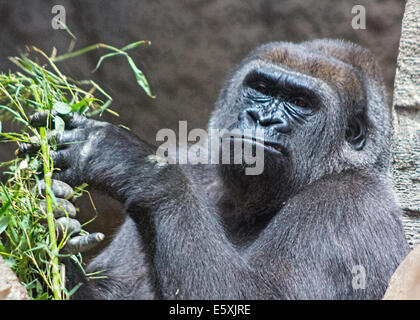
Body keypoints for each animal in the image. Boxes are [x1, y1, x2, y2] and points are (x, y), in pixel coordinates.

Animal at [24, 38, 408, 298]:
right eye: (261, 88)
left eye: (301, 102)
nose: (261, 118)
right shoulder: (195, 163)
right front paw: (50, 225)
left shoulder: (351, 202)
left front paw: (137, 167)